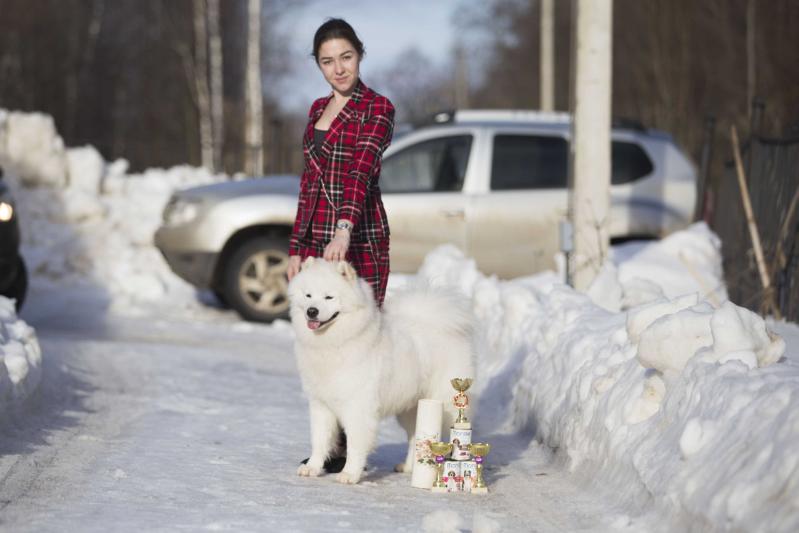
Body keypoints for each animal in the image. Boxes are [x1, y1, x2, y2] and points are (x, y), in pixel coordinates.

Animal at [290, 256, 476, 484]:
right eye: (308, 295)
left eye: (329, 297)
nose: (312, 311)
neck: (335, 343)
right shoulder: (321, 405)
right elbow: (320, 440)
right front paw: (313, 468)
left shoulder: (358, 407)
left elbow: (355, 445)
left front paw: (349, 474)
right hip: (412, 407)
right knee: (415, 435)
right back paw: (408, 467)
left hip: (446, 401)